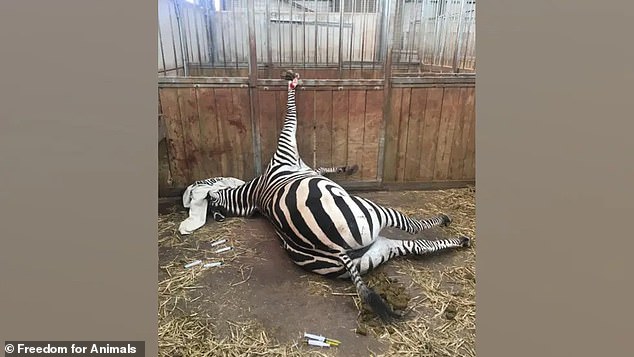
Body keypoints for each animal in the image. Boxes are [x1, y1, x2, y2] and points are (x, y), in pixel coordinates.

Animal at [207, 71, 470, 322]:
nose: (291, 74)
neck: (256, 190)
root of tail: (333, 250)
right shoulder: (286, 147)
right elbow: (291, 115)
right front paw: (292, 83)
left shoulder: (306, 166)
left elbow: (323, 168)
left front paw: (349, 168)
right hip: (371, 213)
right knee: (413, 228)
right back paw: (446, 221)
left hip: (377, 251)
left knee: (419, 247)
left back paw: (462, 240)